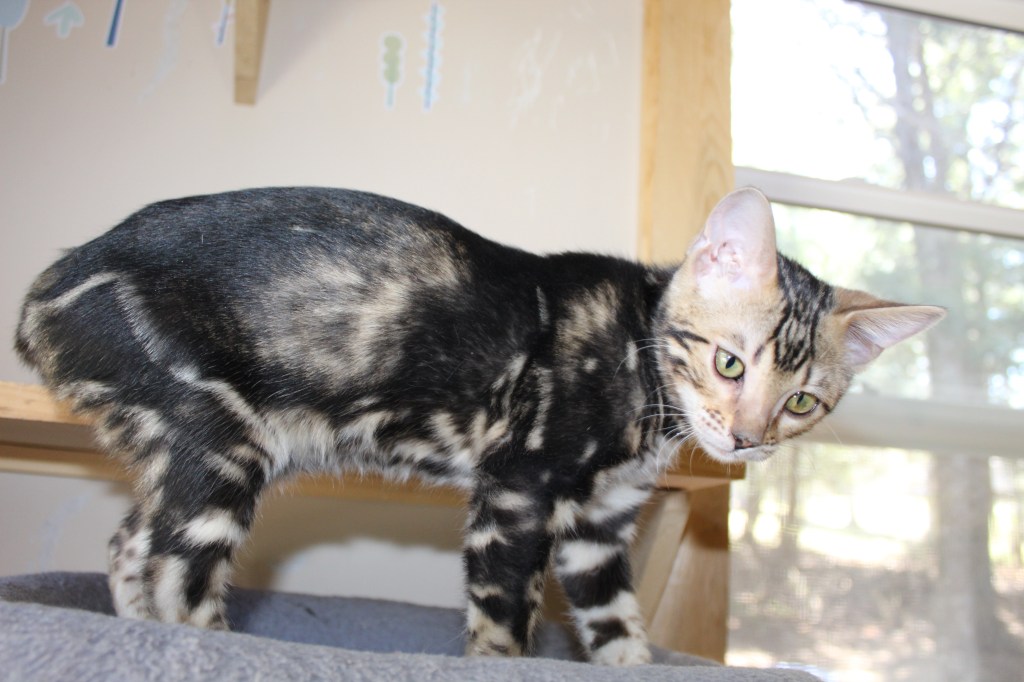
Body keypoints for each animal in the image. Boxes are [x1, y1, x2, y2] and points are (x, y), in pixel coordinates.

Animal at [14, 186, 943, 665]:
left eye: (801, 402)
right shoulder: (517, 491)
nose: (746, 438)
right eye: (730, 363)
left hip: (180, 452)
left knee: (129, 546)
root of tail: (50, 284)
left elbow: (620, 634)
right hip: (219, 441)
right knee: (181, 580)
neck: (640, 372)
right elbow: (503, 628)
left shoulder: (599, 527)